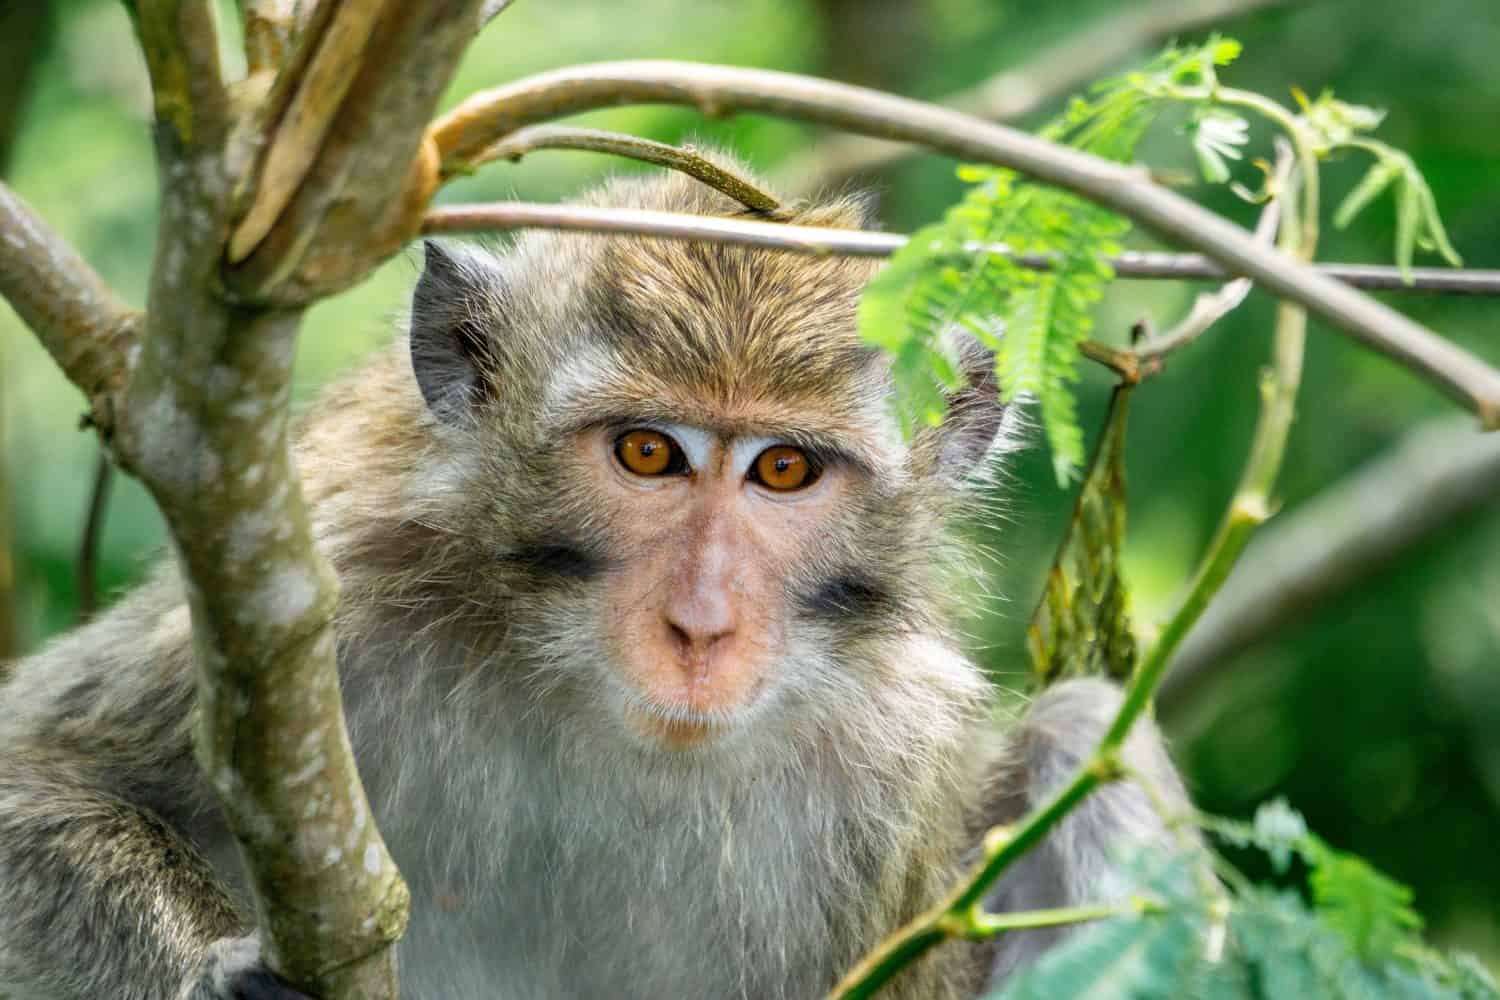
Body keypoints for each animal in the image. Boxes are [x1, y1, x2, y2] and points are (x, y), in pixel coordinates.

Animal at [0, 159, 1191, 1000]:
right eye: (648, 453)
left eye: (785, 470)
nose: (700, 625)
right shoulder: (331, 597)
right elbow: (40, 773)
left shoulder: (893, 749)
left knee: (1084, 728)